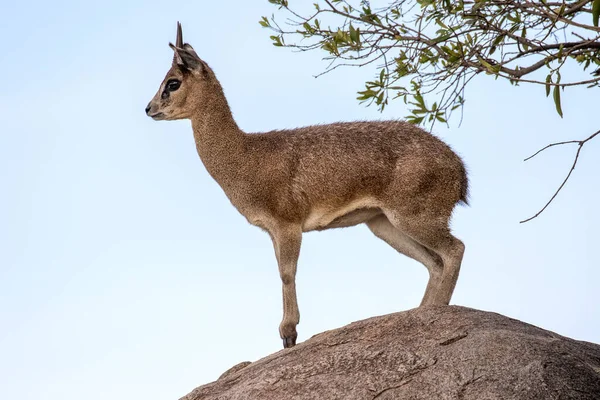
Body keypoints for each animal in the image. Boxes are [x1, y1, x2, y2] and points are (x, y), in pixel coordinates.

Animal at [144, 22, 468, 346]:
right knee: (434, 262)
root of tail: (460, 171)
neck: (247, 156)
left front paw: (289, 332)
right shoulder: (272, 230)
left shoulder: (288, 223)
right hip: (384, 224)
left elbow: (287, 273)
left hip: (414, 216)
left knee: (455, 249)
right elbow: (281, 271)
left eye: (172, 83)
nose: (148, 108)